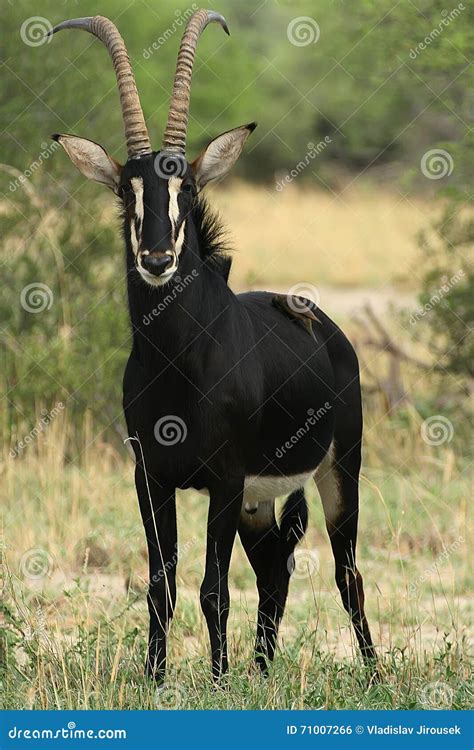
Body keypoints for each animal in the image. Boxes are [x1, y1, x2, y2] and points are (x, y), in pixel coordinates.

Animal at [47, 10, 377, 684]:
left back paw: (372, 673)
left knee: (346, 573)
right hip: (258, 500)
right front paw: (155, 678)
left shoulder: (223, 482)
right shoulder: (152, 478)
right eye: (127, 191)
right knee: (276, 568)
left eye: (186, 187)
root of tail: (329, 331)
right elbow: (161, 585)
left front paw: (219, 680)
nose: (156, 259)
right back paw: (263, 670)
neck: (180, 362)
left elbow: (213, 590)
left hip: (338, 470)